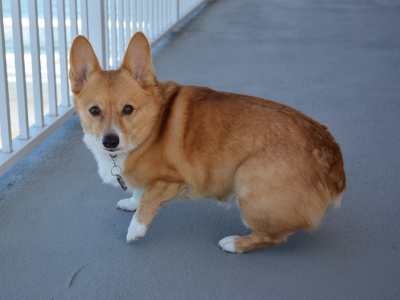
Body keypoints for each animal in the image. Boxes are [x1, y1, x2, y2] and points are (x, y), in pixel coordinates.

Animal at [69, 32, 344, 253]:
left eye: (128, 109)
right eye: (94, 111)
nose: (110, 141)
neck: (149, 127)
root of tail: (331, 156)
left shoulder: (171, 181)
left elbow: (147, 202)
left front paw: (134, 229)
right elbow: (139, 193)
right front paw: (130, 203)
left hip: (246, 180)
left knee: (274, 237)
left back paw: (234, 243)